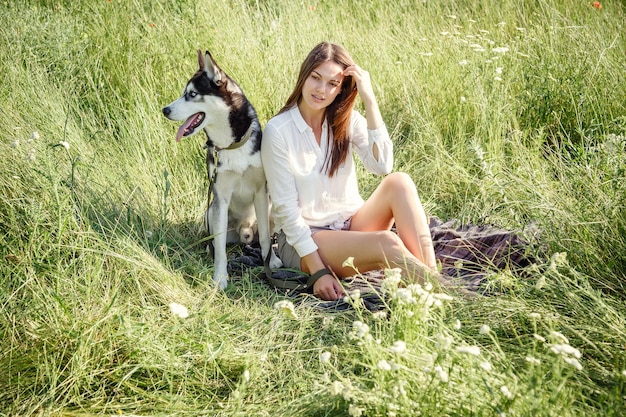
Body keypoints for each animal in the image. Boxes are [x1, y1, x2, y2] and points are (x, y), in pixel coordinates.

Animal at [161, 49, 280, 290]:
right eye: (184, 93)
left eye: (192, 94)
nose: (165, 110)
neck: (231, 144)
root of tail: (244, 231)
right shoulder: (220, 197)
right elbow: (220, 248)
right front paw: (220, 278)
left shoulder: (260, 192)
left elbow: (265, 237)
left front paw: (270, 263)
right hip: (210, 212)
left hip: (272, 206)